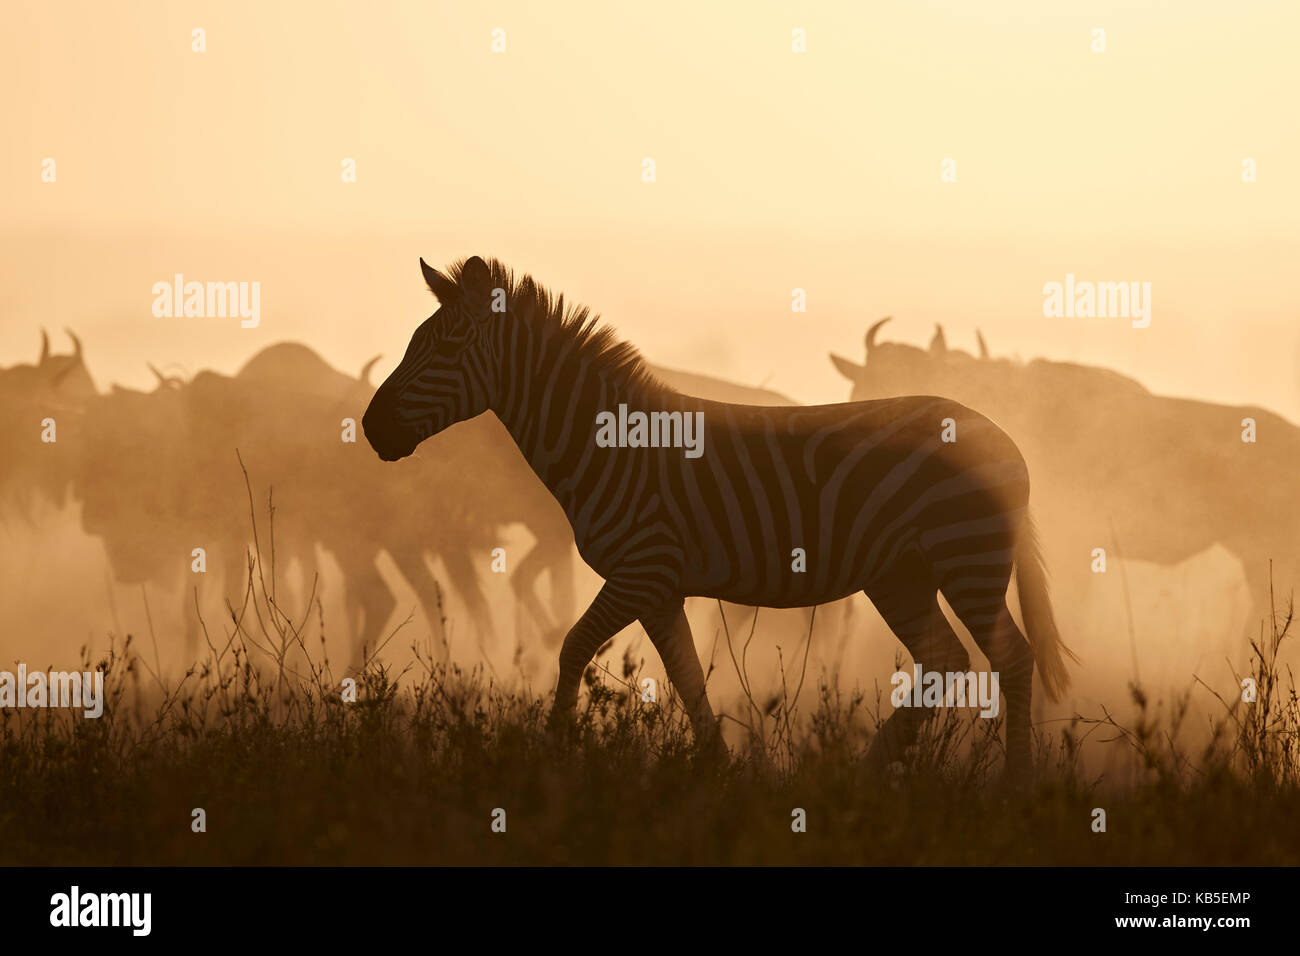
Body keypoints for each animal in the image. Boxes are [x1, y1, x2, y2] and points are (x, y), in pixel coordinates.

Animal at [366, 260, 1076, 780]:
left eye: (445, 346)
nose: (371, 428)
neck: (609, 445)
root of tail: (1001, 434)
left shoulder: (640, 571)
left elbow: (572, 648)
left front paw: (553, 757)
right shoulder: (658, 588)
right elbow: (686, 678)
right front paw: (718, 772)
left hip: (965, 557)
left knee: (1011, 658)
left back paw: (1015, 787)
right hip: (901, 574)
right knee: (945, 660)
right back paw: (864, 773)